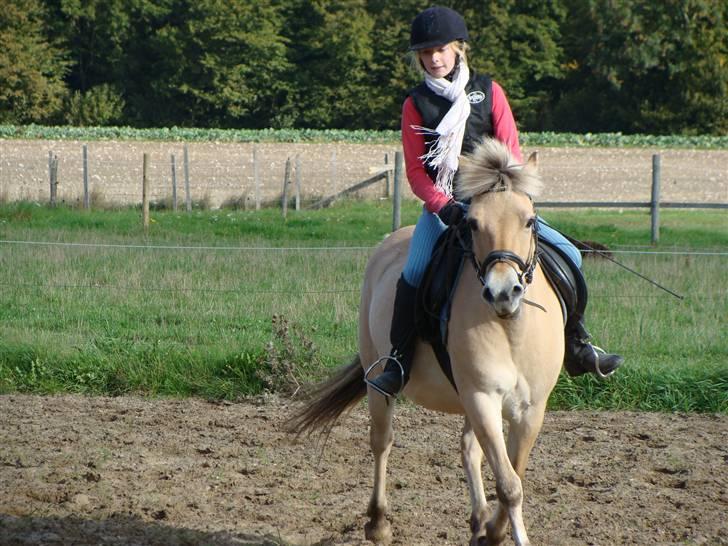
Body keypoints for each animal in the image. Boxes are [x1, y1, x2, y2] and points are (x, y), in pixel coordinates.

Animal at [287, 138, 564, 546]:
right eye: (472, 223)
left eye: (529, 220)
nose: (502, 292)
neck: (510, 330)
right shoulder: (482, 399)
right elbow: (509, 485)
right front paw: (499, 532)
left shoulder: (530, 410)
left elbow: (512, 477)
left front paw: (492, 531)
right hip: (380, 382)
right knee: (381, 441)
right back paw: (378, 522)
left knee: (469, 449)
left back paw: (478, 521)